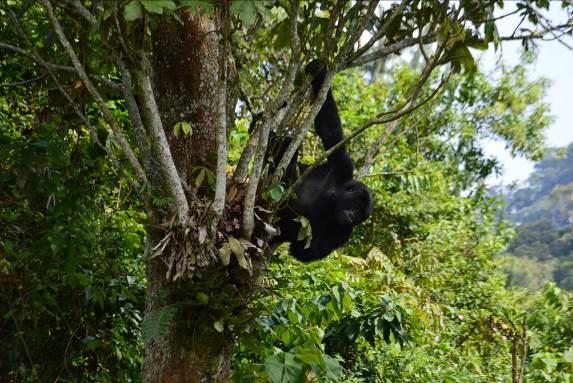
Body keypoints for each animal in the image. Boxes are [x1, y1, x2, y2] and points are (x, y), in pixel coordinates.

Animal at [270, 63, 374, 262]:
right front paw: (319, 68)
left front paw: (290, 227)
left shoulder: (345, 233)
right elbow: (330, 129)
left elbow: (309, 250)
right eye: (355, 206)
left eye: (359, 215)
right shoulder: (343, 166)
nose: (351, 216)